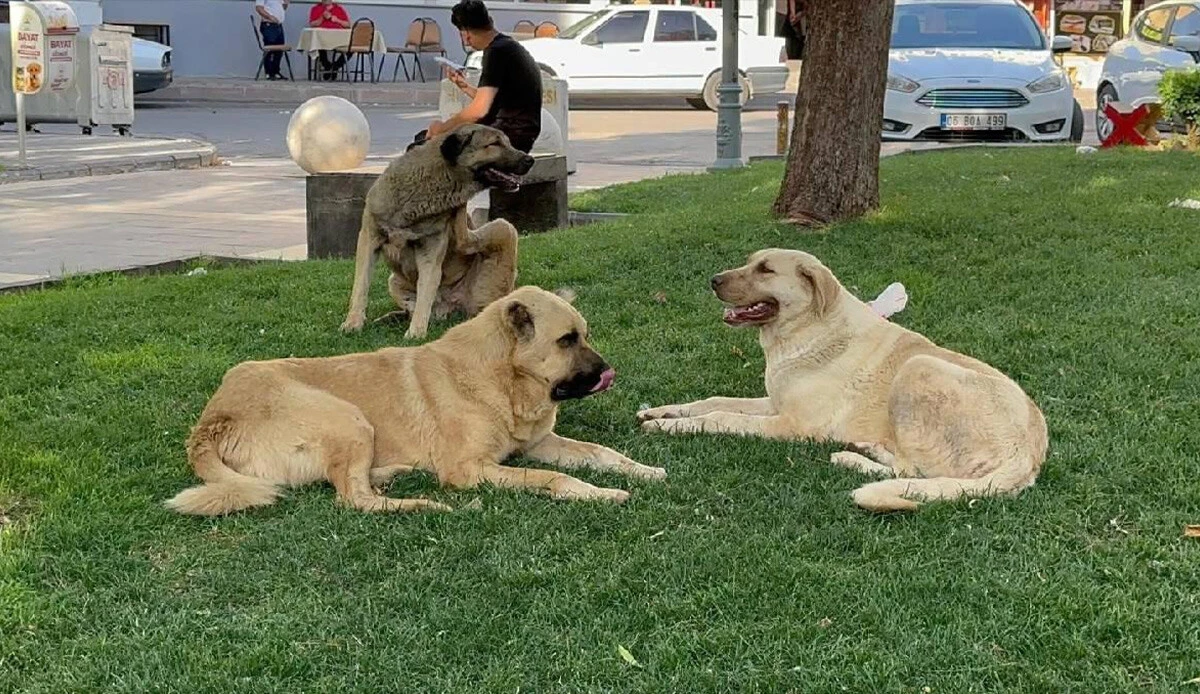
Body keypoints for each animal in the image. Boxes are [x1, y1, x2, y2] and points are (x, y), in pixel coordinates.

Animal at [165, 280, 667, 513]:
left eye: (584, 335)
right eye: (566, 340)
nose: (609, 373)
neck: (498, 378)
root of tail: (211, 420)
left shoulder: (540, 444)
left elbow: (601, 452)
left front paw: (642, 470)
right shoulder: (470, 469)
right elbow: (553, 479)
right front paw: (599, 493)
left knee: (352, 484)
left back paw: (393, 474)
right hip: (347, 417)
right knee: (354, 500)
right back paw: (426, 503)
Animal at [643, 248, 1046, 509]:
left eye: (766, 269)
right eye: (749, 262)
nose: (713, 280)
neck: (806, 329)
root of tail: (1028, 456)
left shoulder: (792, 424)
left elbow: (719, 416)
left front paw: (670, 427)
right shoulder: (774, 403)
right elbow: (713, 401)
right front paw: (662, 412)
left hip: (918, 367)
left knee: (911, 470)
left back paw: (852, 458)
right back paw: (869, 448)